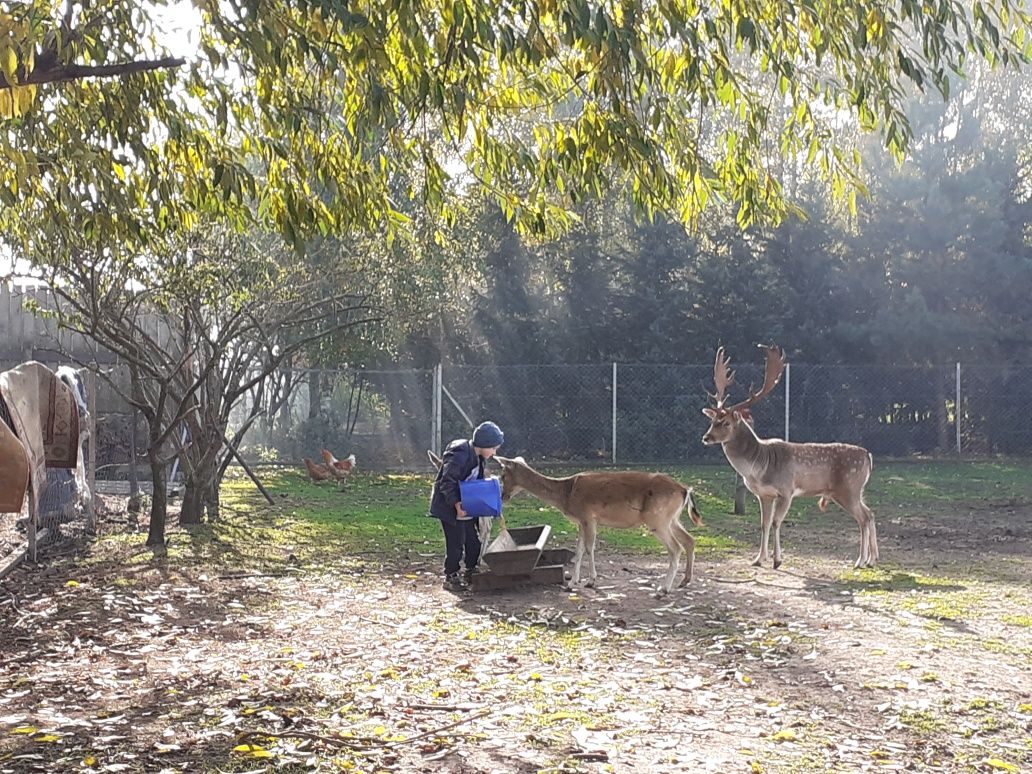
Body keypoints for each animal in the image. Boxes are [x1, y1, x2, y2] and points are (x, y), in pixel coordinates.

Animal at [701, 344, 879, 569]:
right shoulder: (763, 495)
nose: (706, 437)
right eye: (712, 420)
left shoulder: (786, 490)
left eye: (725, 423)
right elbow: (764, 524)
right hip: (855, 491)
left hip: (848, 489)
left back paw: (860, 561)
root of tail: (868, 456)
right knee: (870, 513)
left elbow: (777, 522)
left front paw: (777, 560)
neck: (758, 466)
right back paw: (873, 559)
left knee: (863, 518)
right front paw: (758, 559)